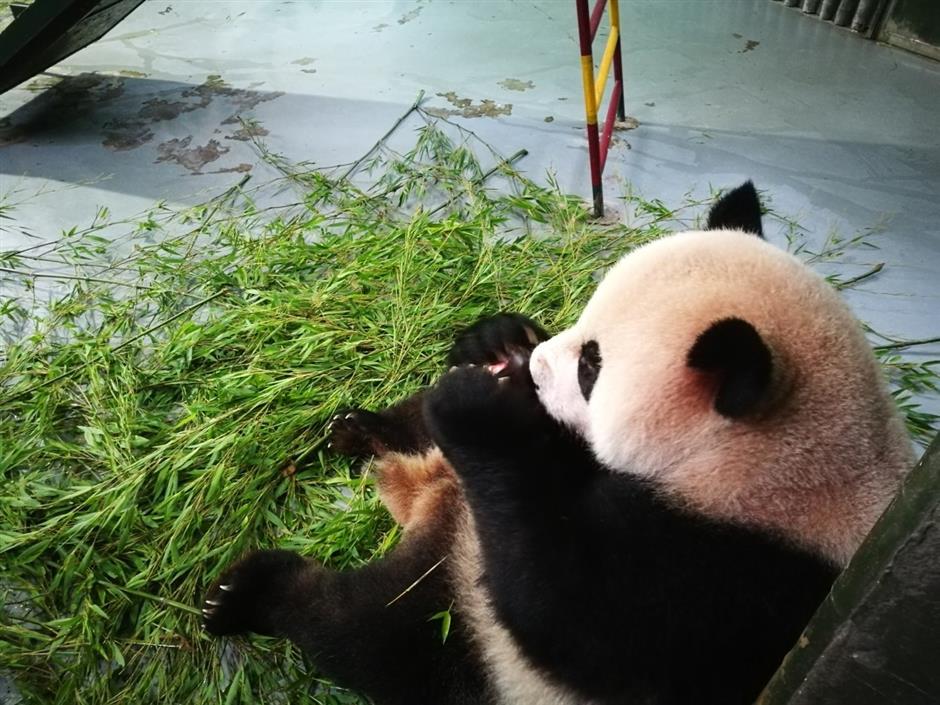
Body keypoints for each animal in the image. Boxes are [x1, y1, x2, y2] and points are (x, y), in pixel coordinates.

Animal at [202, 183, 916, 704]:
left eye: (592, 367)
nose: (538, 365)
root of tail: (427, 503)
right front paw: (498, 341)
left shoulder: (743, 583)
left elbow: (574, 615)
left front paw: (478, 410)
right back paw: (361, 431)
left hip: (463, 633)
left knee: (368, 634)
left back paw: (245, 592)